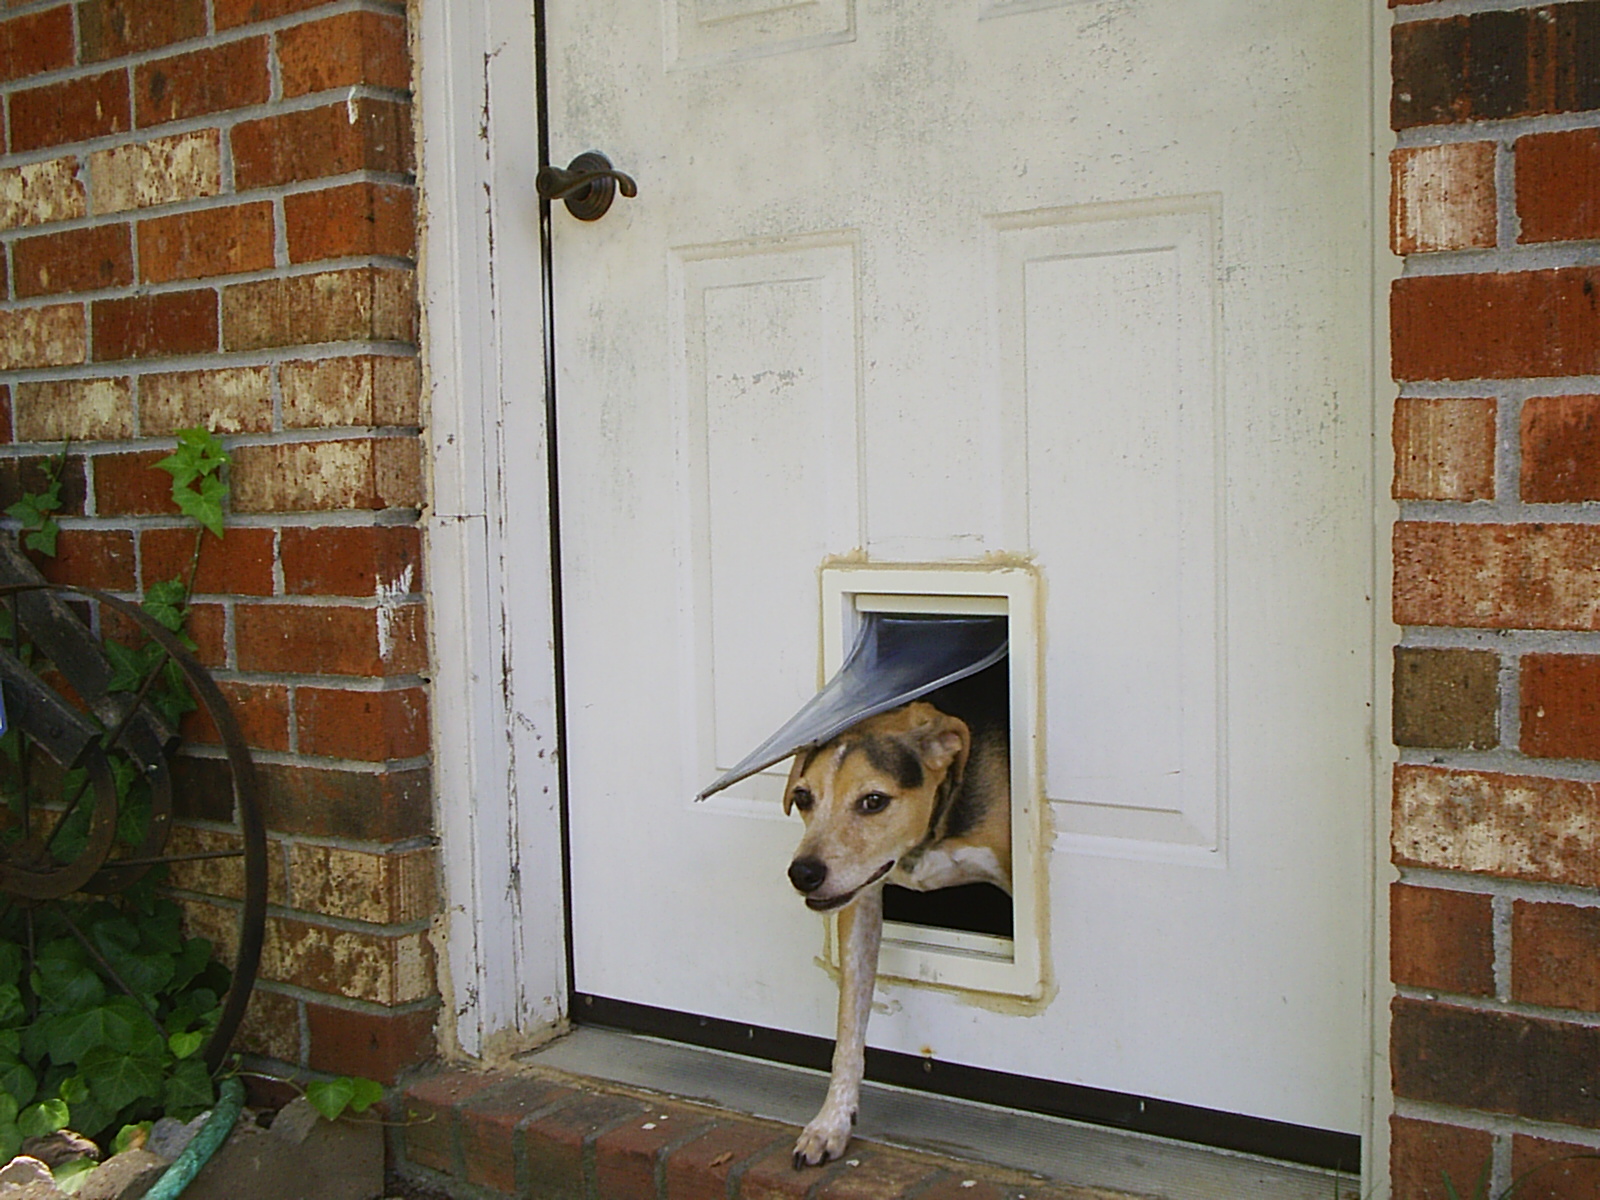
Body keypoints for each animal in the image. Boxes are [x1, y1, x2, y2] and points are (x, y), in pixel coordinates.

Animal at [780, 700, 1004, 1171]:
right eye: (804, 797)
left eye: (874, 801)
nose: (803, 873)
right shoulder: (859, 902)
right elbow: (849, 1025)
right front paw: (831, 1123)